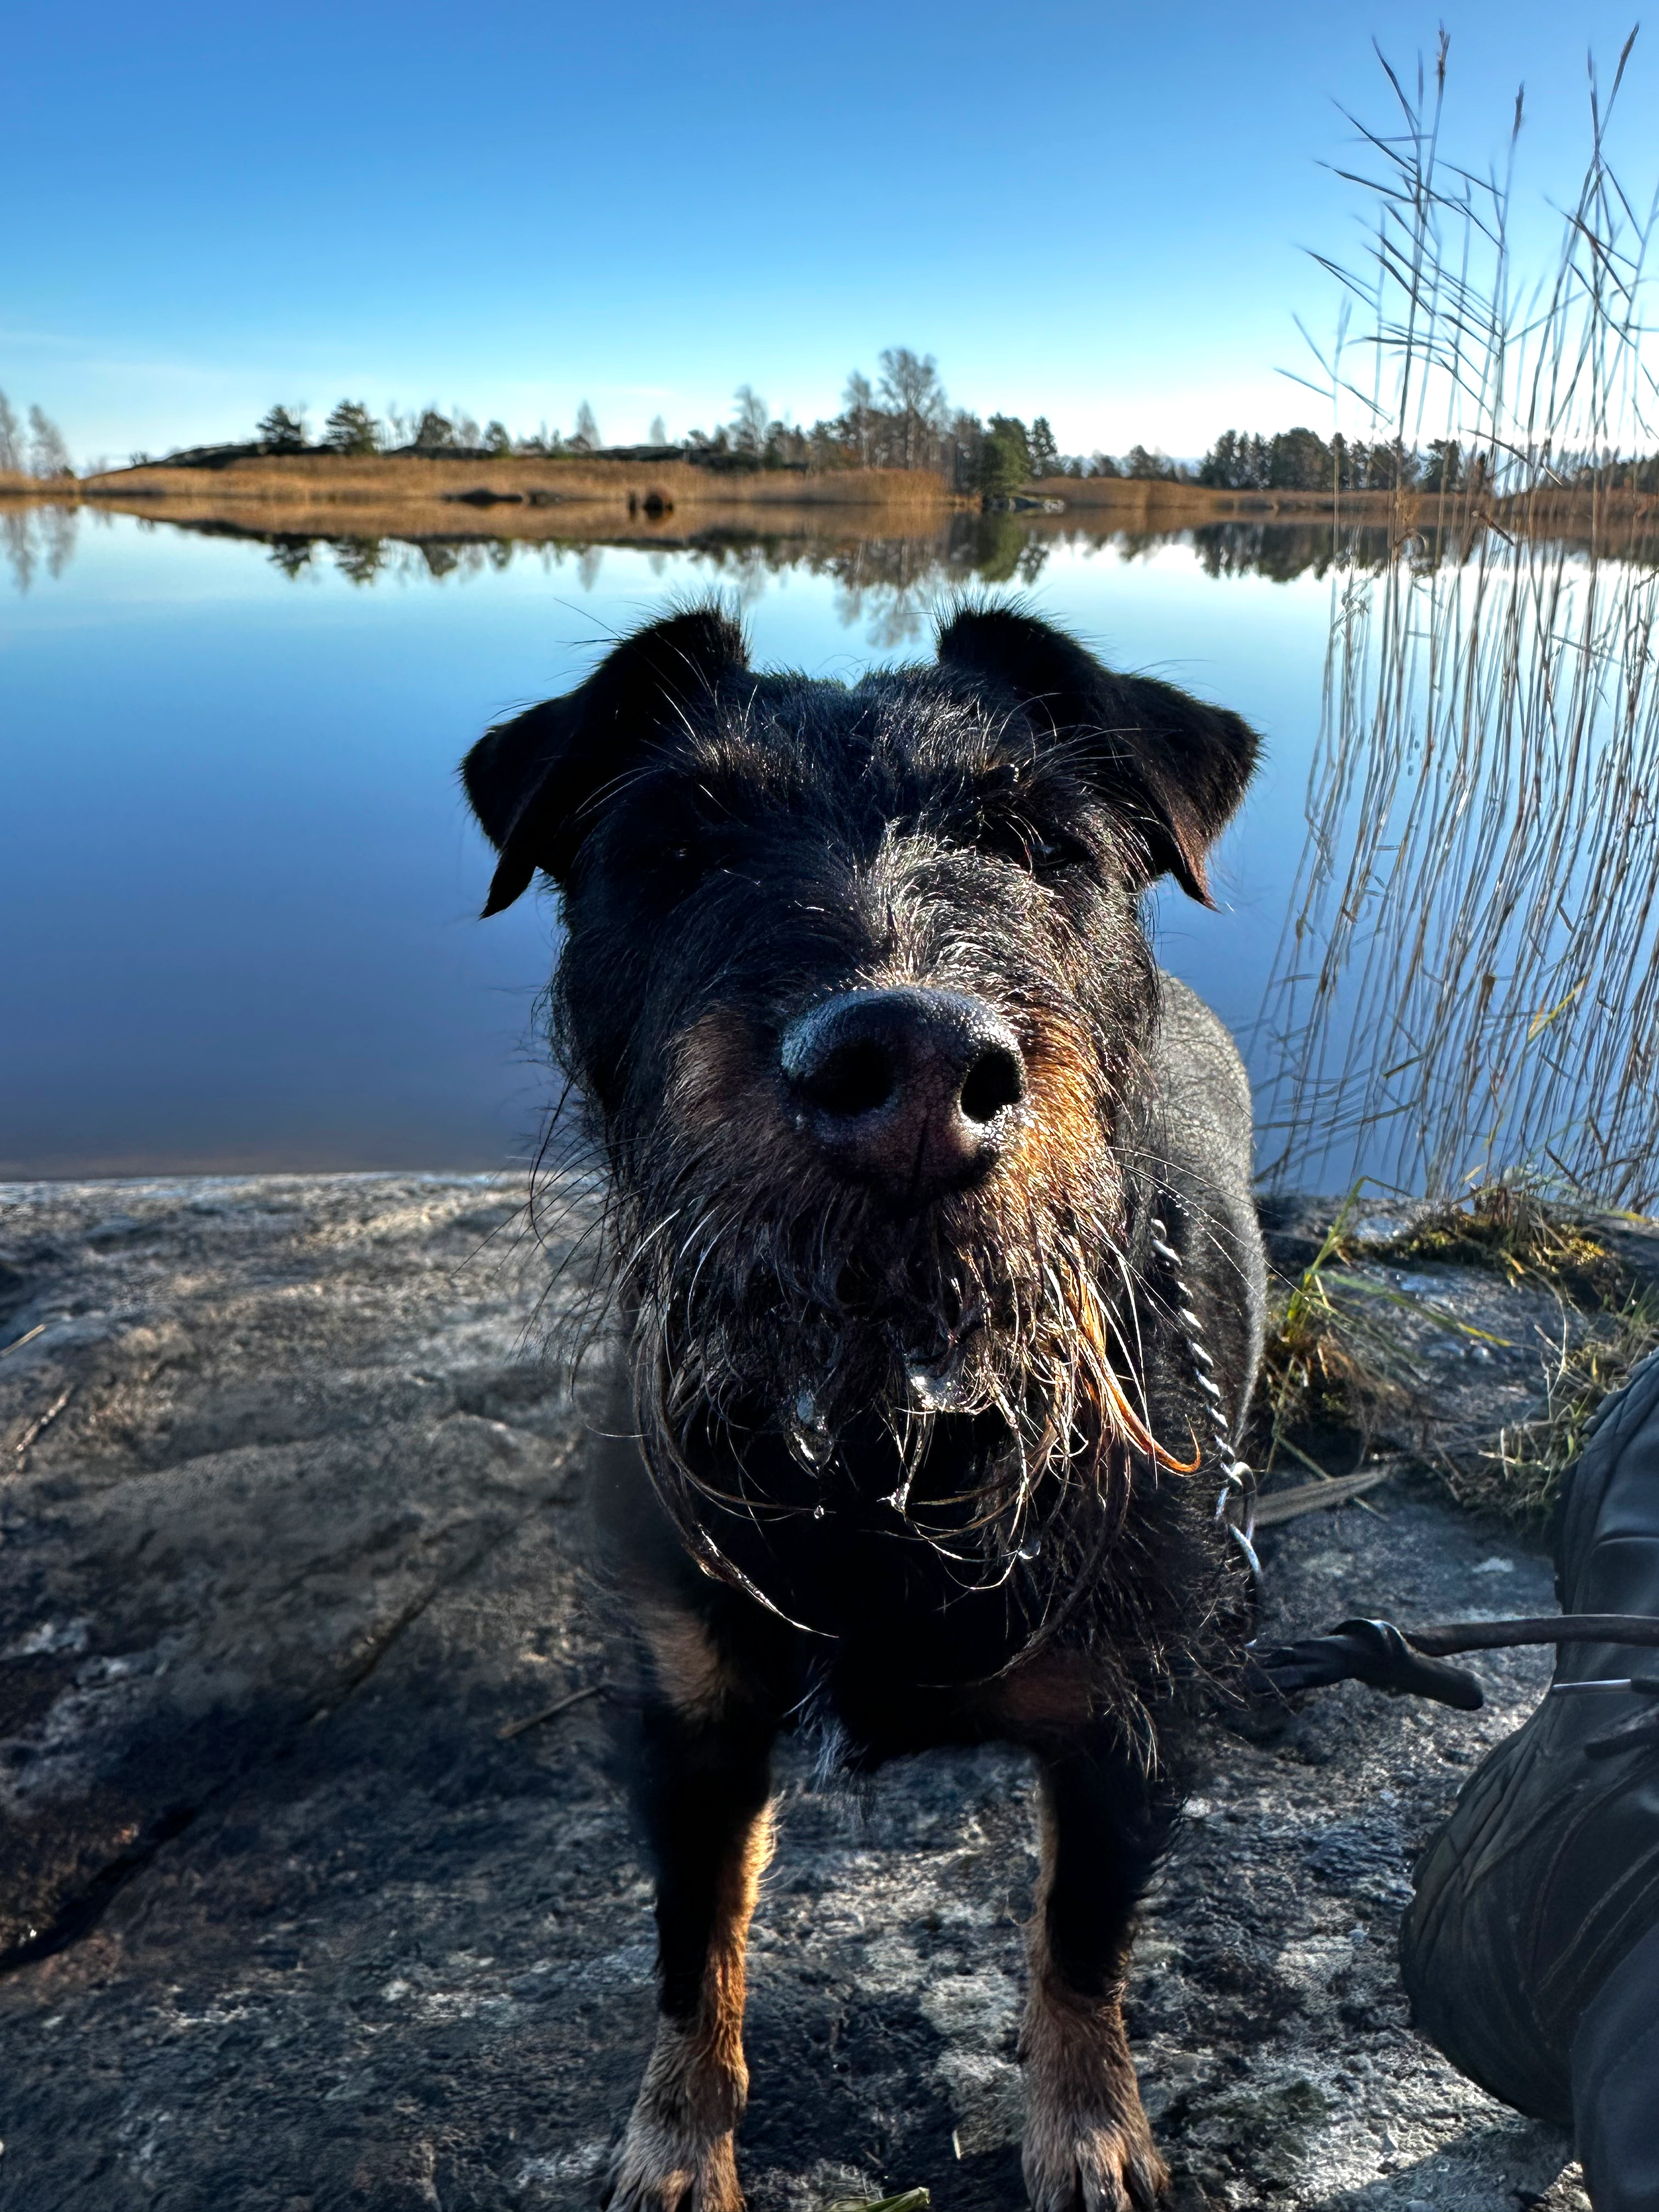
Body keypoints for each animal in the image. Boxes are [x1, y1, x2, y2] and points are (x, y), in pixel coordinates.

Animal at [469, 606, 1274, 2212]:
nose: (910, 1065)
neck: (879, 1435)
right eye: (678, 843)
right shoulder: (693, 1716)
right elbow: (694, 1952)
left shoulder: (1130, 1729)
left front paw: (1091, 2133)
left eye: (1044, 840)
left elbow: (1082, 1945)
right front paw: (677, 2143)